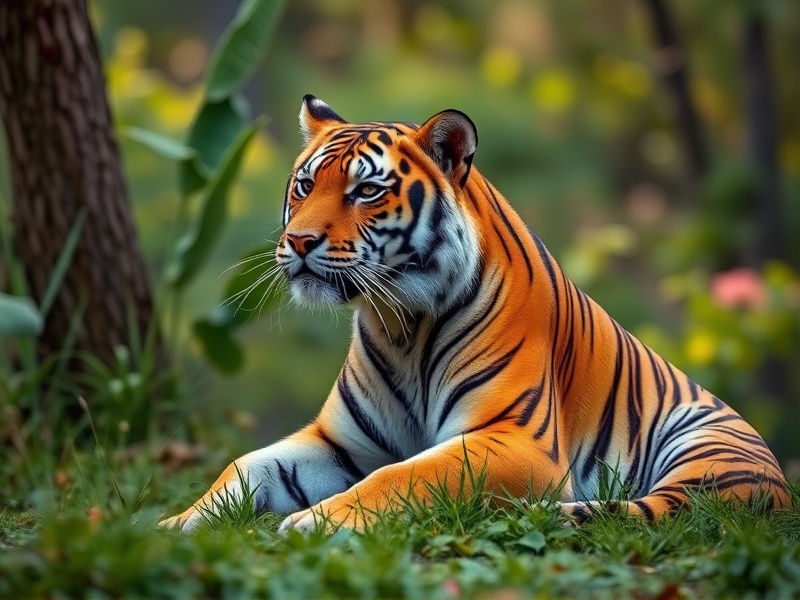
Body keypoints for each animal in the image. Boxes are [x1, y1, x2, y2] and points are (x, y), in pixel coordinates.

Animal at [160, 95, 789, 533]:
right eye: (306, 184)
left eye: (365, 192)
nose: (298, 241)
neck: (401, 323)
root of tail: (780, 479)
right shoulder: (340, 441)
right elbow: (244, 465)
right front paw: (174, 524)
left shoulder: (515, 438)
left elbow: (405, 472)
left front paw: (313, 521)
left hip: (707, 450)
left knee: (669, 509)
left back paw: (554, 513)